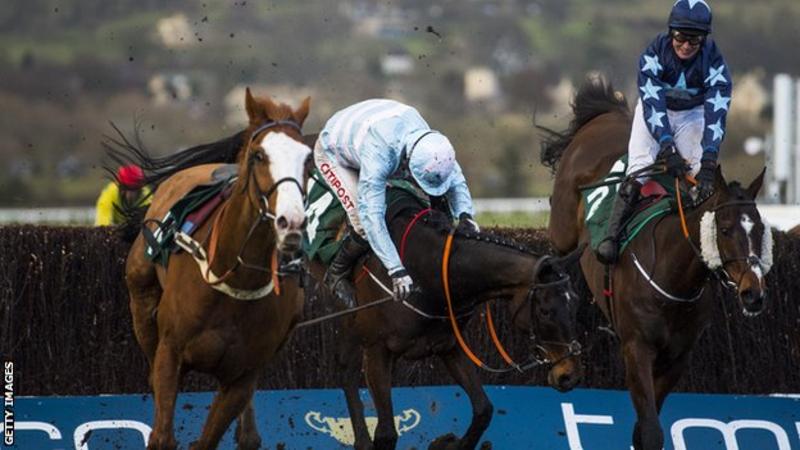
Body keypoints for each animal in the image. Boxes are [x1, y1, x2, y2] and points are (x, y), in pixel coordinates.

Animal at [123, 89, 312, 450]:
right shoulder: (171, 351)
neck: (234, 277)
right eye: (258, 155)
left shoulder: (242, 376)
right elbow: (163, 435)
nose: (291, 221)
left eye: (307, 159)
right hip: (141, 295)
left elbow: (208, 439)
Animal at [306, 191, 585, 450]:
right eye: (545, 311)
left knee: (346, 371)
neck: (429, 272)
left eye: (574, 304)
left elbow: (483, 409)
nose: (569, 376)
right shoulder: (376, 350)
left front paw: (446, 443)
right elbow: (386, 433)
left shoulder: (448, 345)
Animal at [539, 77, 774, 450]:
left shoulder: (677, 356)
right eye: (724, 229)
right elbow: (650, 431)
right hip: (562, 226)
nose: (754, 293)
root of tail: (606, 114)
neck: (672, 279)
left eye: (761, 229)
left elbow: (645, 427)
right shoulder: (636, 348)